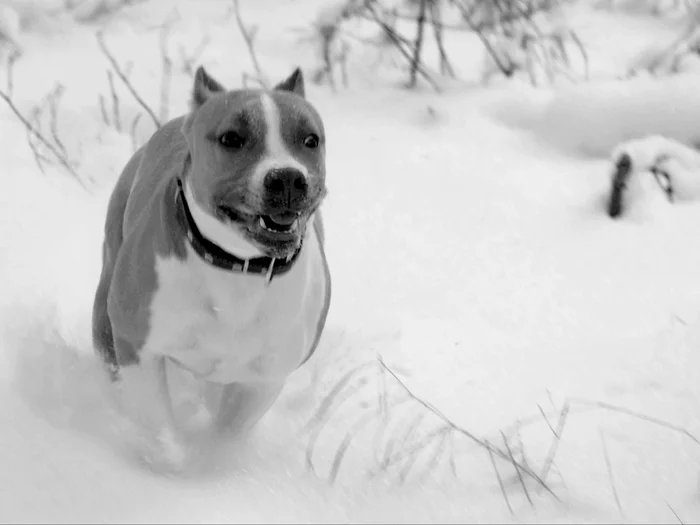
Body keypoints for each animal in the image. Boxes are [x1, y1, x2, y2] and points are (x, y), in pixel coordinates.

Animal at [92, 66, 330, 466]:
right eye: (231, 138)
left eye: (310, 139)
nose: (287, 177)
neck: (238, 266)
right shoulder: (139, 348)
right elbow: (158, 426)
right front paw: (171, 459)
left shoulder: (264, 377)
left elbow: (229, 429)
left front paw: (214, 458)